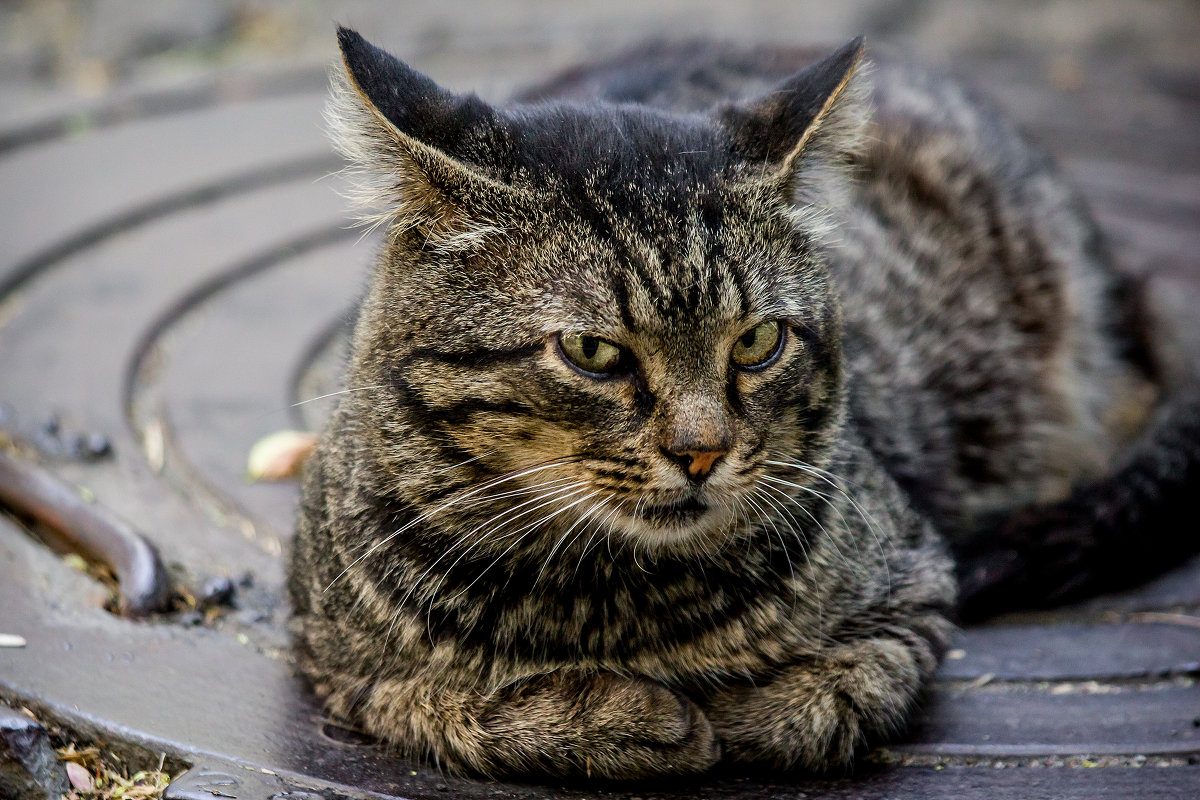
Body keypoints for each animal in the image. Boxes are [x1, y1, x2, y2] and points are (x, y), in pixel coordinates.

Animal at [290, 28, 1200, 777]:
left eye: (758, 342)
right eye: (593, 352)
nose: (702, 450)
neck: (611, 600)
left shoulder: (916, 593)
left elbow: (830, 695)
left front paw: (733, 710)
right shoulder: (333, 662)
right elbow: (445, 704)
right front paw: (625, 718)